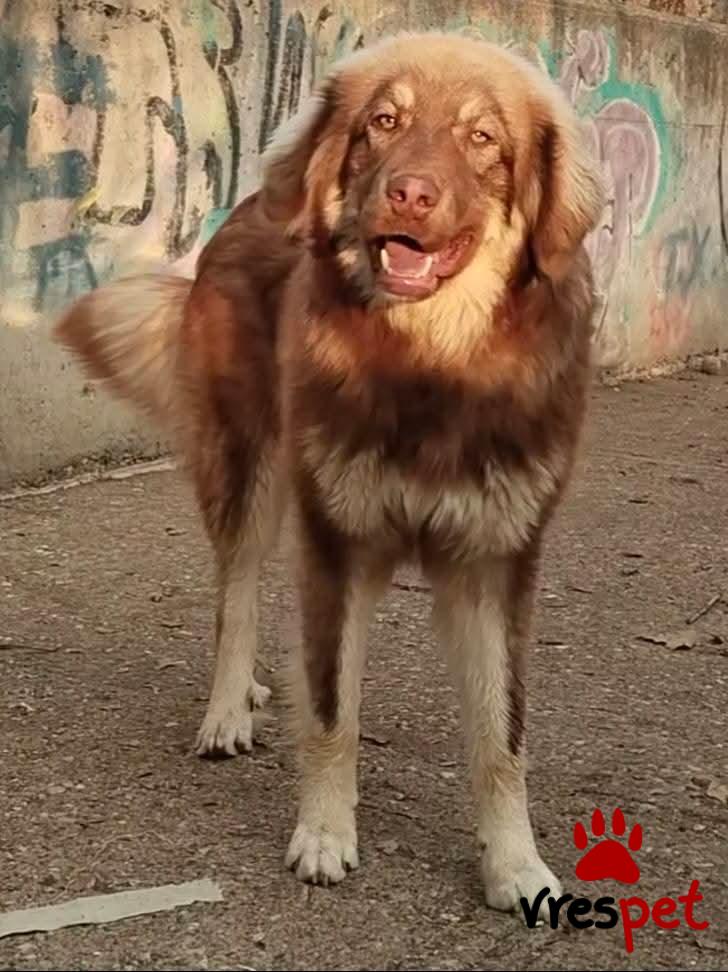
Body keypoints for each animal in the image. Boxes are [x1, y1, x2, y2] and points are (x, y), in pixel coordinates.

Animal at [54, 31, 604, 918]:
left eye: (484, 139)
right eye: (384, 121)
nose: (409, 194)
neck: (431, 361)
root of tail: (247, 205)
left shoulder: (496, 558)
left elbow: (502, 729)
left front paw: (515, 865)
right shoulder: (337, 540)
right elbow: (331, 705)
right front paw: (323, 833)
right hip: (248, 466)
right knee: (236, 594)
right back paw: (226, 710)